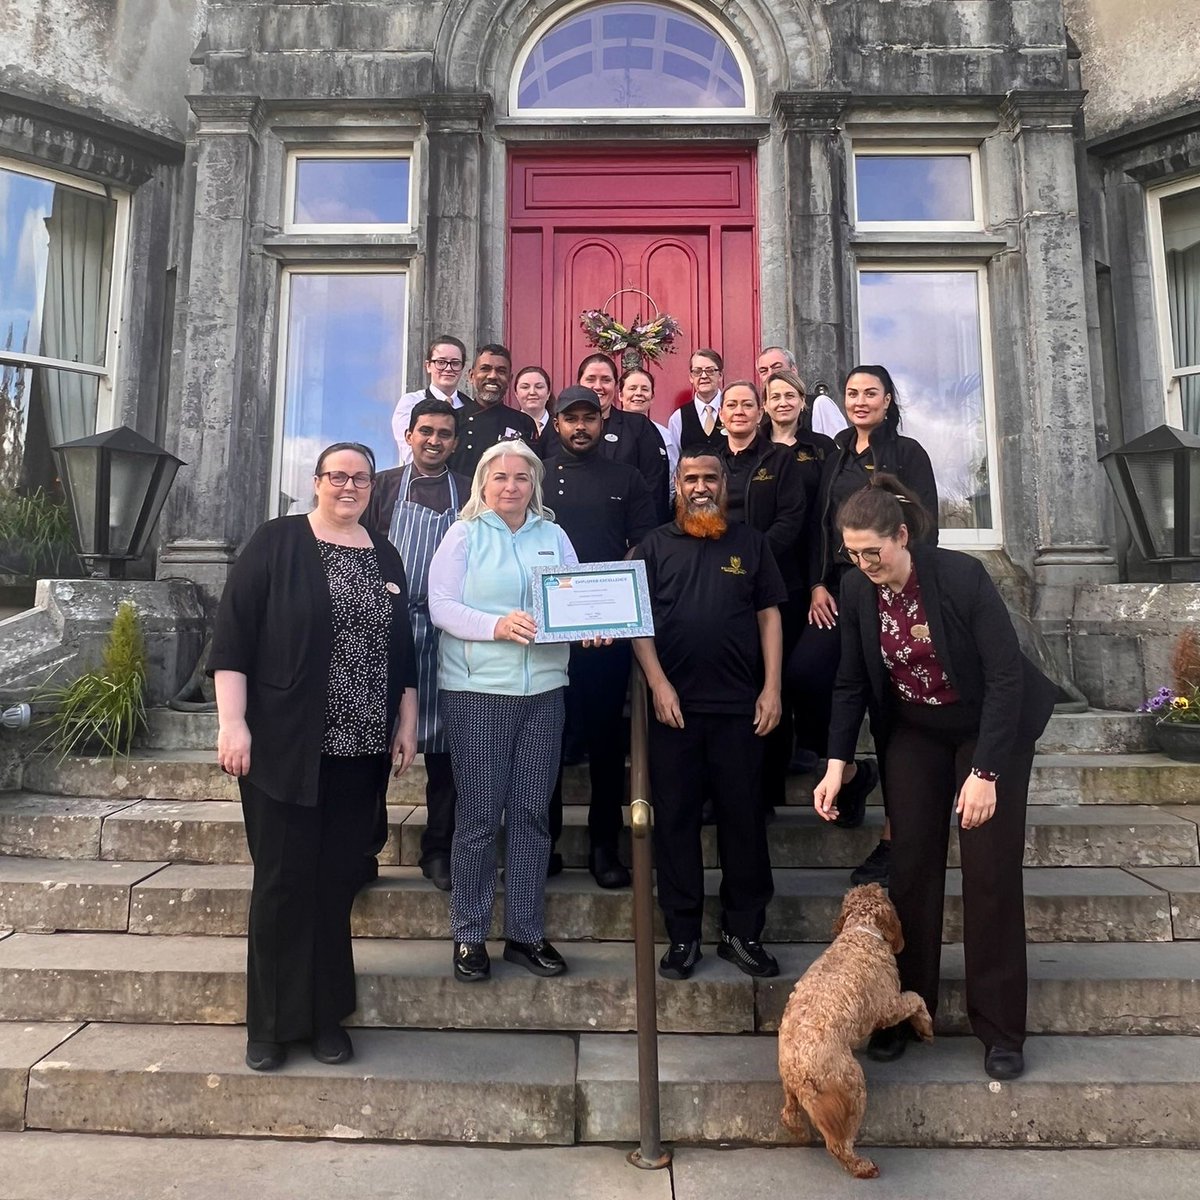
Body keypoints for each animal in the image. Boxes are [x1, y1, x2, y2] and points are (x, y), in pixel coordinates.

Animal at [772, 883, 931, 1180]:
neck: (860, 931)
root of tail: (799, 1069)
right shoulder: (888, 1005)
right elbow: (916, 998)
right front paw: (925, 1027)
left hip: (793, 1089)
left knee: (788, 1114)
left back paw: (799, 1132)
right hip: (852, 1087)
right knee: (839, 1143)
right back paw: (861, 1166)